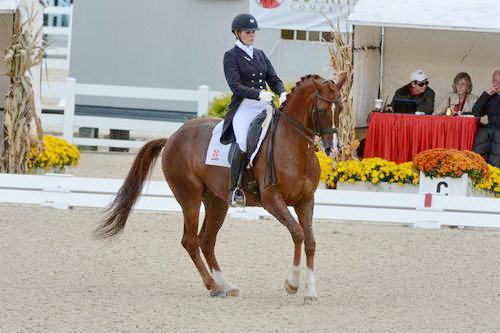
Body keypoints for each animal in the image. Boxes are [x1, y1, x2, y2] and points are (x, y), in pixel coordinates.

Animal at [95, 74, 346, 300]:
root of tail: (172, 137)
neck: (294, 148)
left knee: (207, 240)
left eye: (341, 109)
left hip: (217, 202)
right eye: (322, 110)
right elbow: (297, 233)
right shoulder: (272, 200)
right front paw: (292, 284)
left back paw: (226, 285)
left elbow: (310, 242)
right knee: (191, 240)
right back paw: (213, 286)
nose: (333, 149)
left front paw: (311, 292)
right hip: (189, 197)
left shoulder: (306, 201)